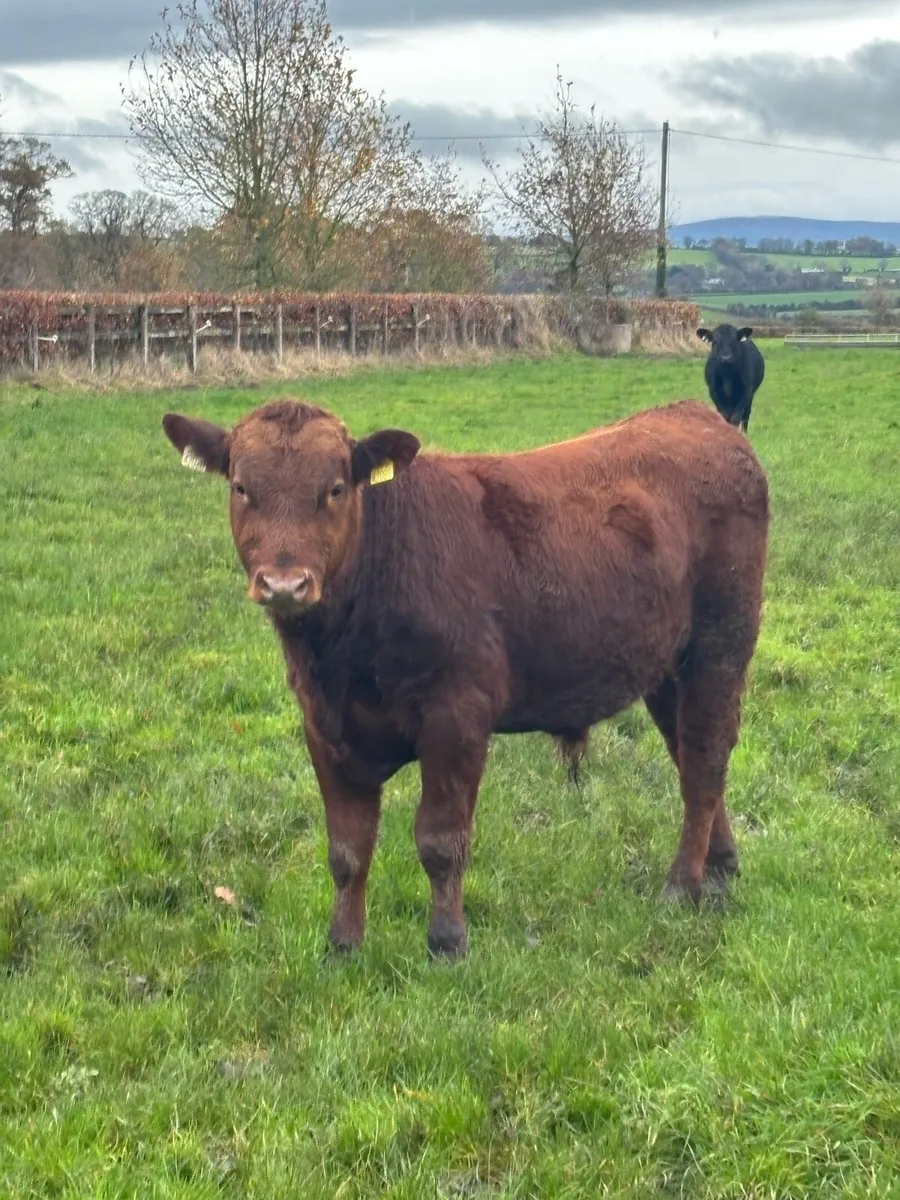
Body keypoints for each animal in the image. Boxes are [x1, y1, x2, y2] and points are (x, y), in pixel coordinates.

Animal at [162, 397, 768, 959]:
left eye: (333, 489)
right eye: (242, 487)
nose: (285, 584)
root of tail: (698, 417)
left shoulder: (457, 716)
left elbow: (440, 840)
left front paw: (447, 942)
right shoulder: (324, 726)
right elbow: (347, 848)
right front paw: (343, 946)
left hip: (720, 643)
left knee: (704, 760)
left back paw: (683, 885)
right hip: (665, 666)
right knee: (691, 755)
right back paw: (720, 867)